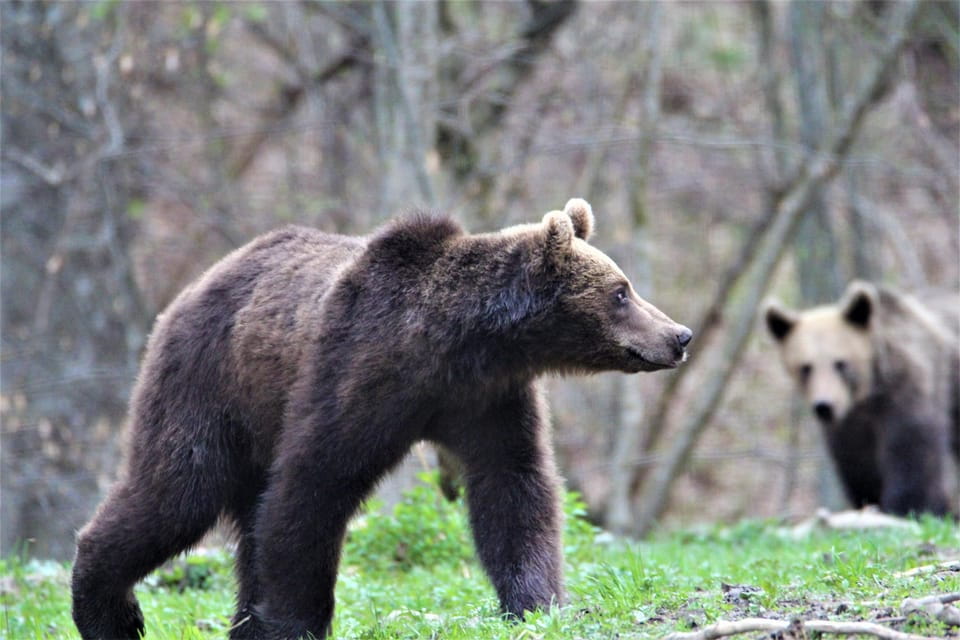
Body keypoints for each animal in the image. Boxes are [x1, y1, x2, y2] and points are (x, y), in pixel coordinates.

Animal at [71, 199, 692, 640]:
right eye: (621, 292)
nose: (679, 335)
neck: (460, 344)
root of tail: (191, 289)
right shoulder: (360, 372)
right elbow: (312, 488)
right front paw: (294, 623)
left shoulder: (485, 400)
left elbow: (515, 489)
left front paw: (538, 603)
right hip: (209, 383)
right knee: (177, 491)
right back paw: (109, 612)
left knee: (241, 519)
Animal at [764, 280, 959, 517]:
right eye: (806, 367)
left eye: (840, 363)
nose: (824, 406)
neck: (866, 396)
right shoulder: (848, 427)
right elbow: (857, 464)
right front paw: (869, 501)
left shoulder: (908, 390)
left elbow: (911, 450)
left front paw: (909, 506)